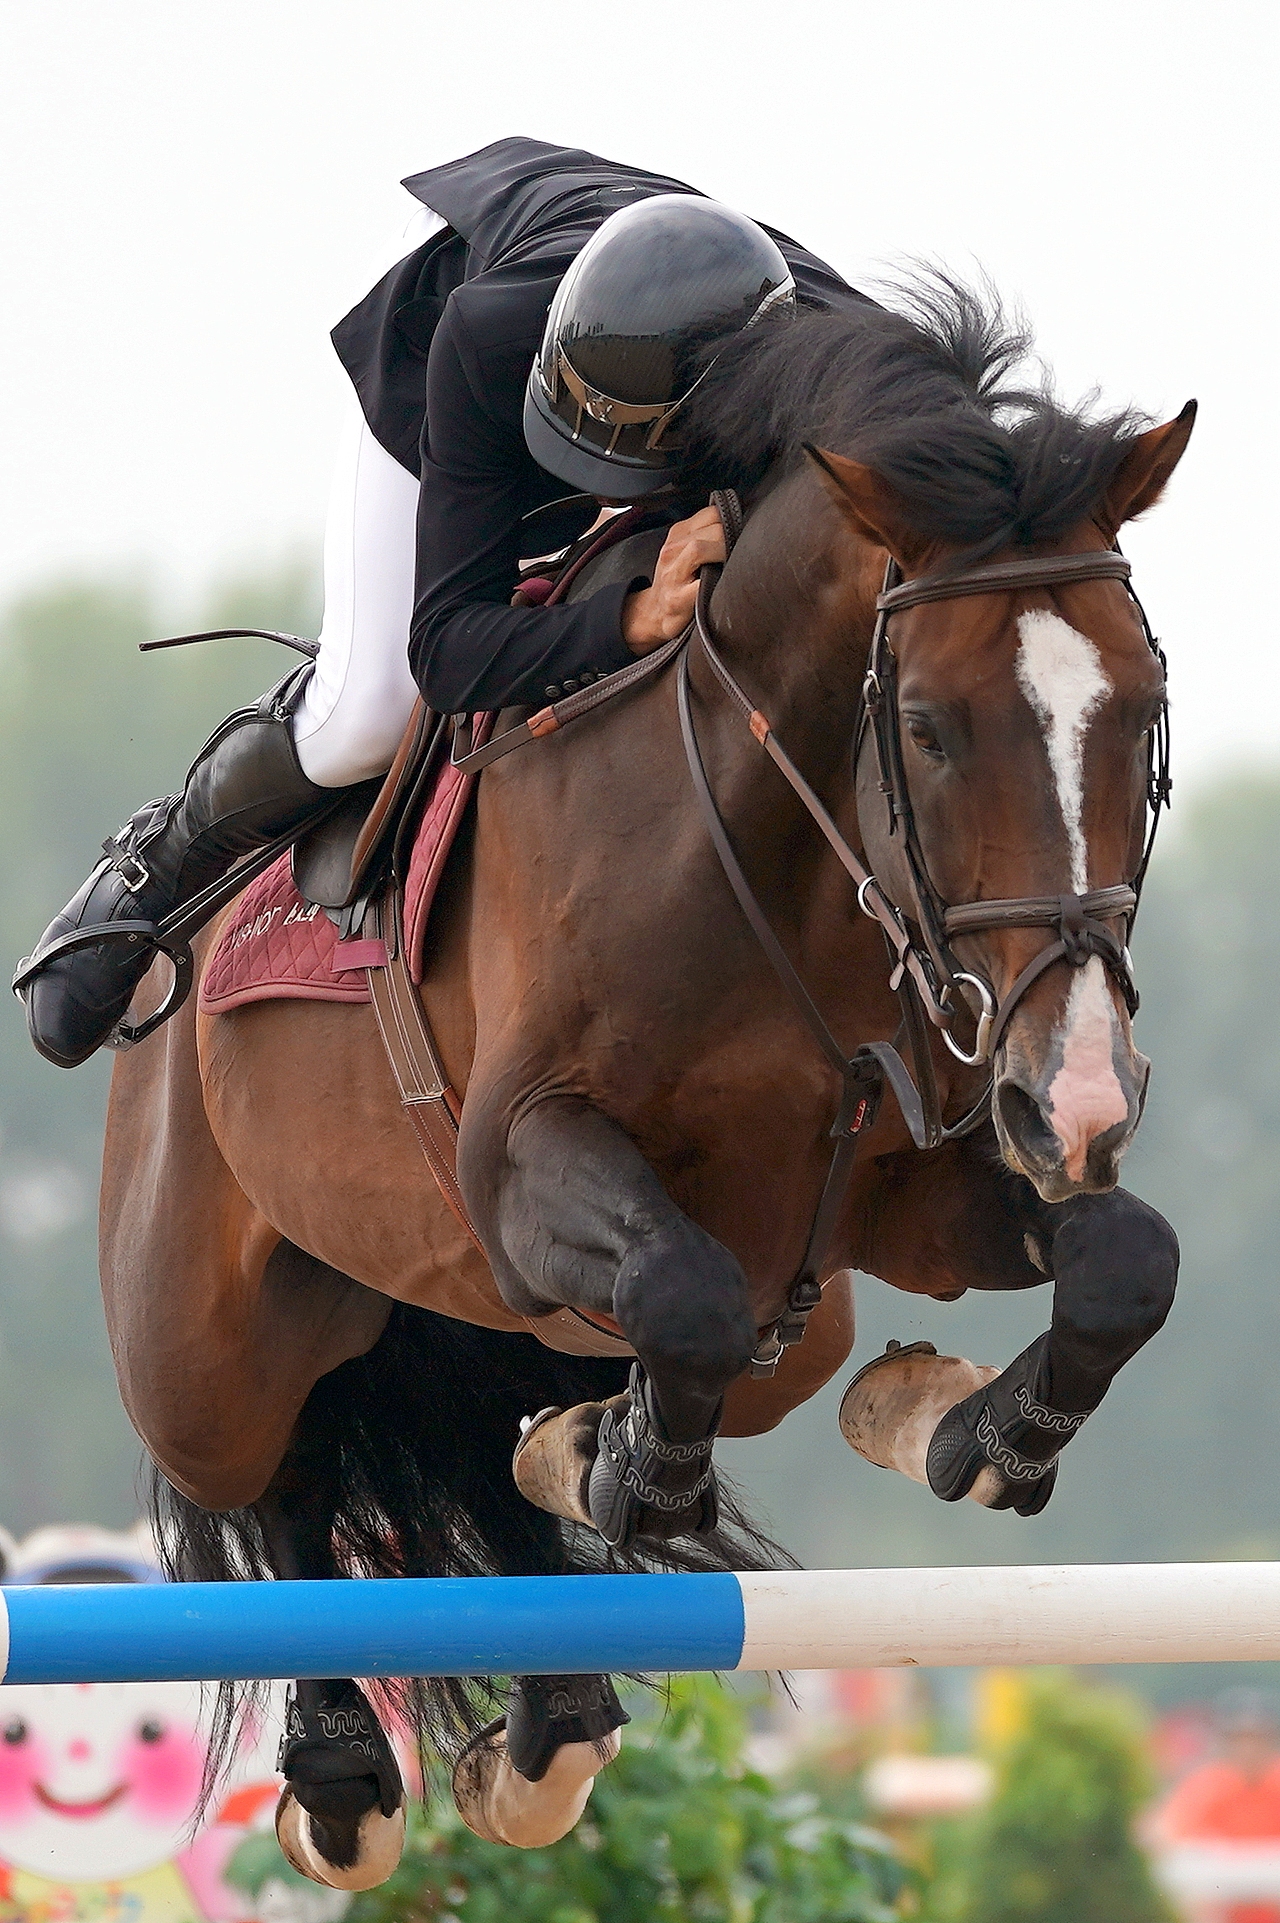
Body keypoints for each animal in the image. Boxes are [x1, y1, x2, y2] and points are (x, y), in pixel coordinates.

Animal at [96, 279, 1191, 1890]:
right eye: (929, 726)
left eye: (1143, 708)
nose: (1083, 1097)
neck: (776, 863)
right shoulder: (516, 1168)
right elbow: (680, 1293)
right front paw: (626, 1473)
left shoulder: (919, 1183)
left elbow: (1125, 1261)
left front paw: (968, 1432)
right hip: (204, 1342)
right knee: (272, 1466)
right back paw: (350, 1763)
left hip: (781, 1311)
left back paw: (559, 1696)